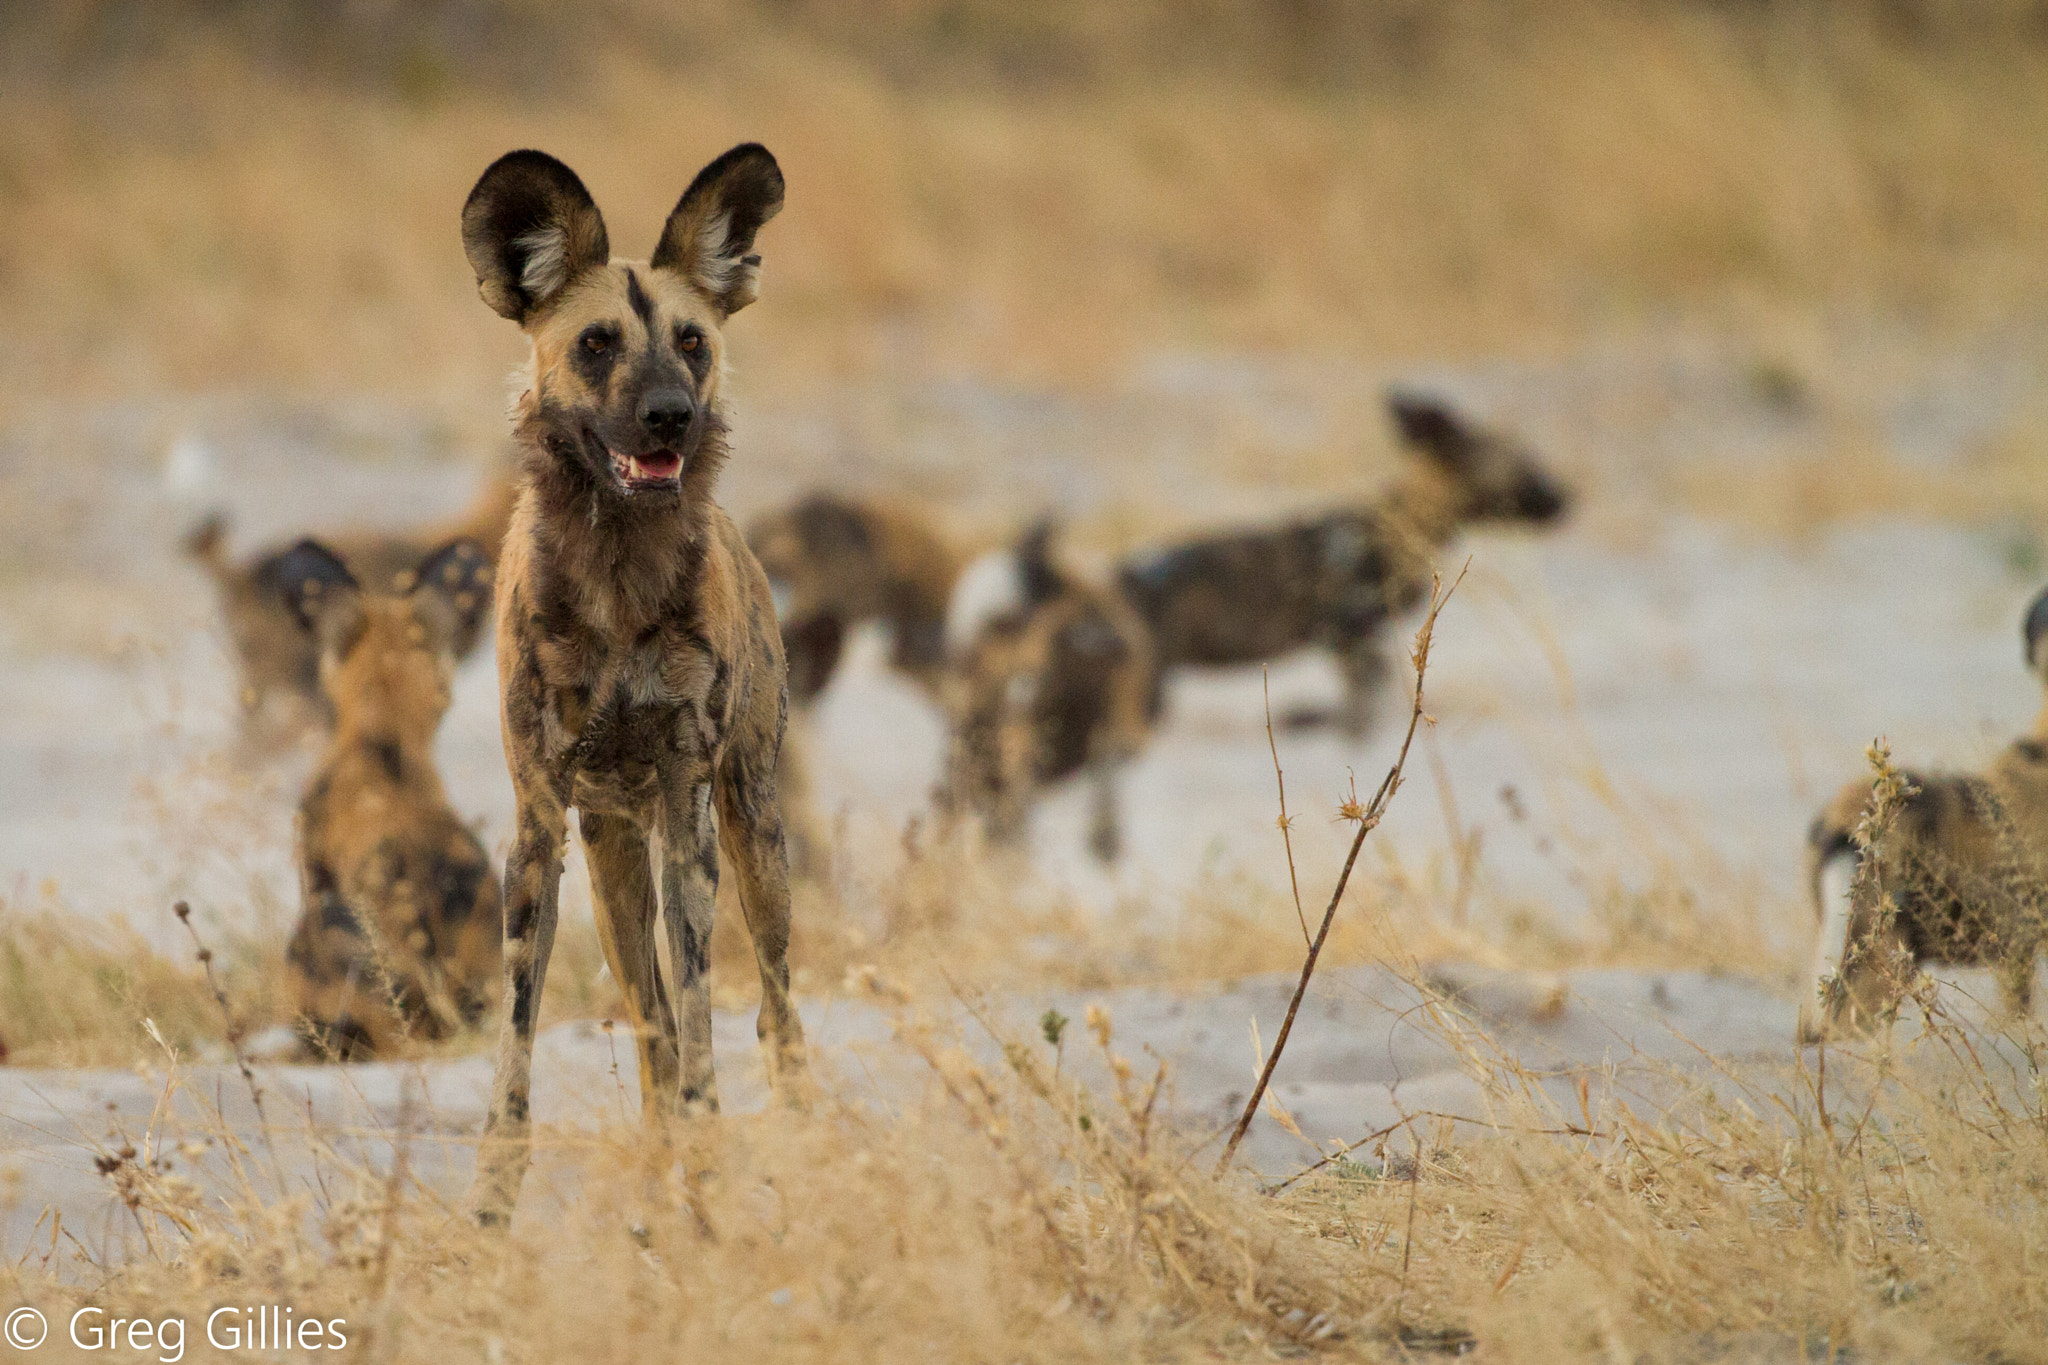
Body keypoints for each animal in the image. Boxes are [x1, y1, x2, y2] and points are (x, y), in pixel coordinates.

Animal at [1122, 392, 1564, 736]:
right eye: (1523, 465)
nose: (1566, 498)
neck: (1407, 523)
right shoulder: (1343, 627)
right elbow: (1361, 701)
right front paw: (1330, 725)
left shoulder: (1355, 635)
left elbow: (1365, 696)